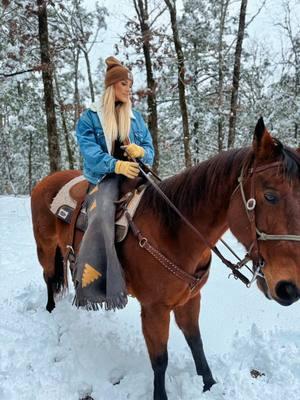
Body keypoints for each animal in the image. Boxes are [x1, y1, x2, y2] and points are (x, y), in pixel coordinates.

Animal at [30, 119, 300, 400]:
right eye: (270, 196)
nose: (289, 288)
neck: (173, 231)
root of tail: (47, 180)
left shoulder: (190, 299)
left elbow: (196, 342)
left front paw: (209, 385)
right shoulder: (154, 309)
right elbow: (160, 359)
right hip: (45, 248)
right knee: (48, 277)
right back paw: (50, 311)